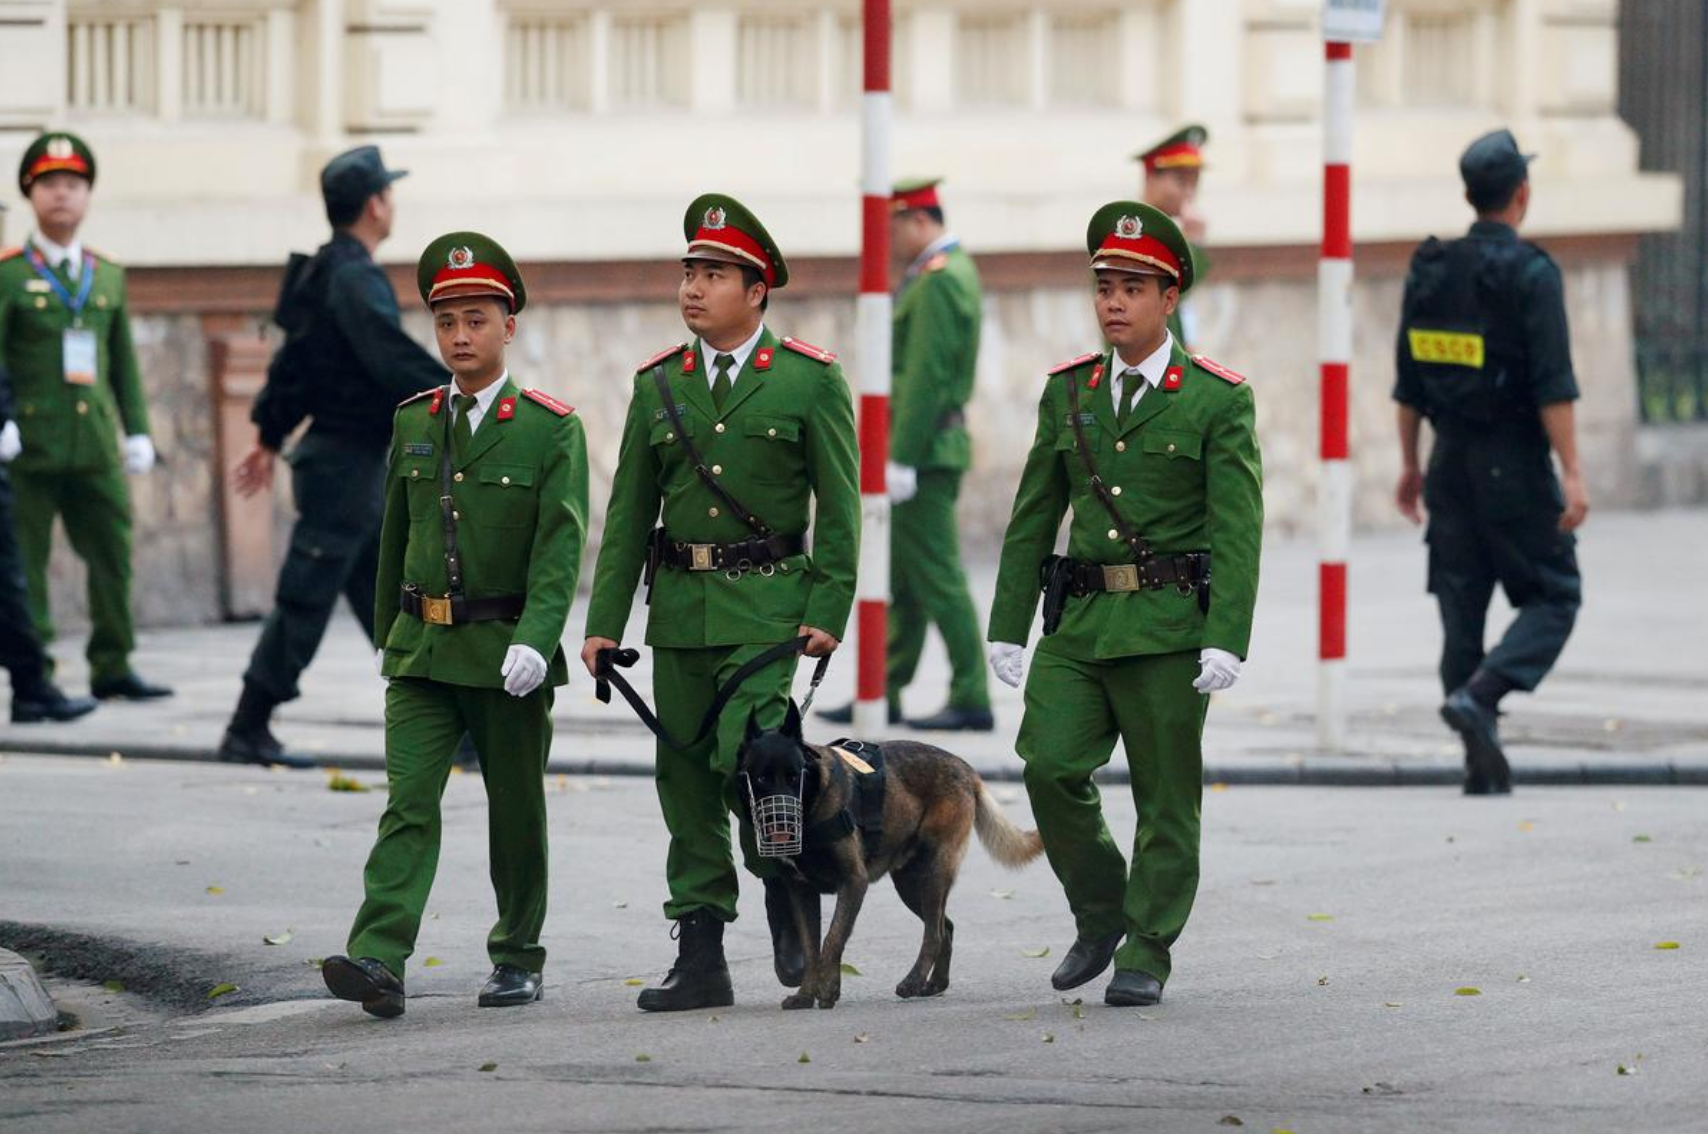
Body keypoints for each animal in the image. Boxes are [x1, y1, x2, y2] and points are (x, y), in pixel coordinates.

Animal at [734, 710, 1038, 1011]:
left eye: (794, 776)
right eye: (761, 780)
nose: (781, 823)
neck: (811, 805)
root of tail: (965, 768)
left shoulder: (854, 882)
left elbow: (833, 938)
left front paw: (828, 989)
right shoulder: (801, 891)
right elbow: (811, 948)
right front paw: (806, 994)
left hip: (932, 874)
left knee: (935, 933)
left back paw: (913, 981)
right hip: (910, 884)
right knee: (945, 927)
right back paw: (935, 983)